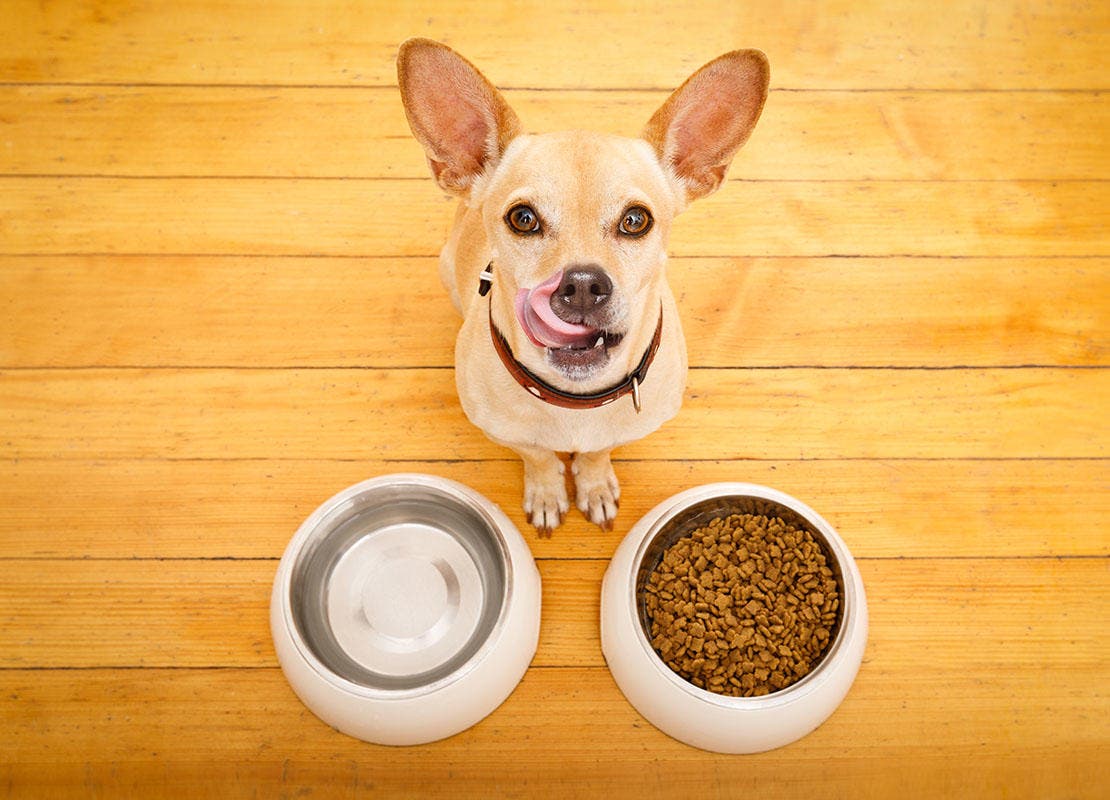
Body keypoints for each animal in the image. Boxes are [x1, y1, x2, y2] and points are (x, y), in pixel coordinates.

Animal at [395, 39, 768, 537]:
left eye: (635, 220)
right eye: (523, 218)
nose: (584, 284)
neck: (574, 402)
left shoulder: (617, 432)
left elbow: (596, 453)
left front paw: (593, 484)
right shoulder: (506, 433)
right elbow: (536, 454)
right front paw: (547, 492)